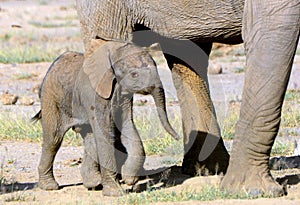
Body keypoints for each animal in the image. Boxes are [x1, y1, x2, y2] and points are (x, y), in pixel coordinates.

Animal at [33, 39, 178, 196]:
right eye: (134, 74)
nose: (178, 137)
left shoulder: (122, 94)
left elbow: (127, 126)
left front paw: (129, 179)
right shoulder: (94, 93)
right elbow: (106, 132)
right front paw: (116, 192)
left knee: (90, 137)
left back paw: (94, 183)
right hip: (51, 98)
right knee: (53, 139)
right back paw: (50, 186)